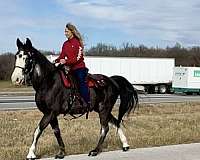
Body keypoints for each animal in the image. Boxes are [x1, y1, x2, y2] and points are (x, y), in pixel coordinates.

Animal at [10, 38, 138, 159]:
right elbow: (56, 132)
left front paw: (31, 154)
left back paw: (95, 150)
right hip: (102, 109)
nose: (15, 79)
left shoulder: (50, 113)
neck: (48, 82)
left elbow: (38, 130)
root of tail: (111, 80)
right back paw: (125, 145)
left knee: (105, 128)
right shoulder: (51, 115)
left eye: (27, 58)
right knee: (116, 122)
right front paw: (61, 152)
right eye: (16, 56)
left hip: (104, 109)